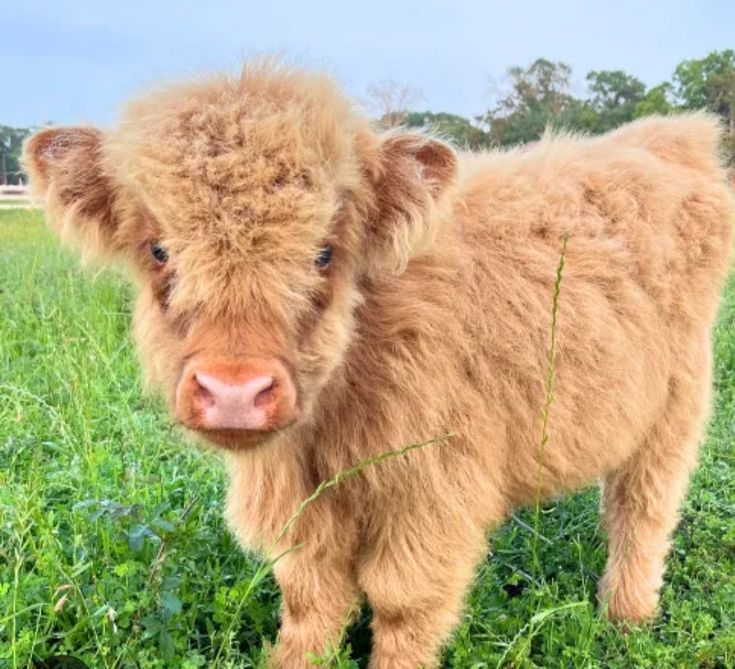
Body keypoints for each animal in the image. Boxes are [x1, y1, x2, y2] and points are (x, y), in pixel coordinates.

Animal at [24, 61, 734, 669]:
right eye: (159, 248)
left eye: (324, 253)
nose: (235, 391)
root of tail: (669, 136)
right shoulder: (296, 500)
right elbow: (309, 596)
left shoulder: (432, 490)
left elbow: (403, 605)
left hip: (676, 405)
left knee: (642, 509)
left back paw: (626, 619)